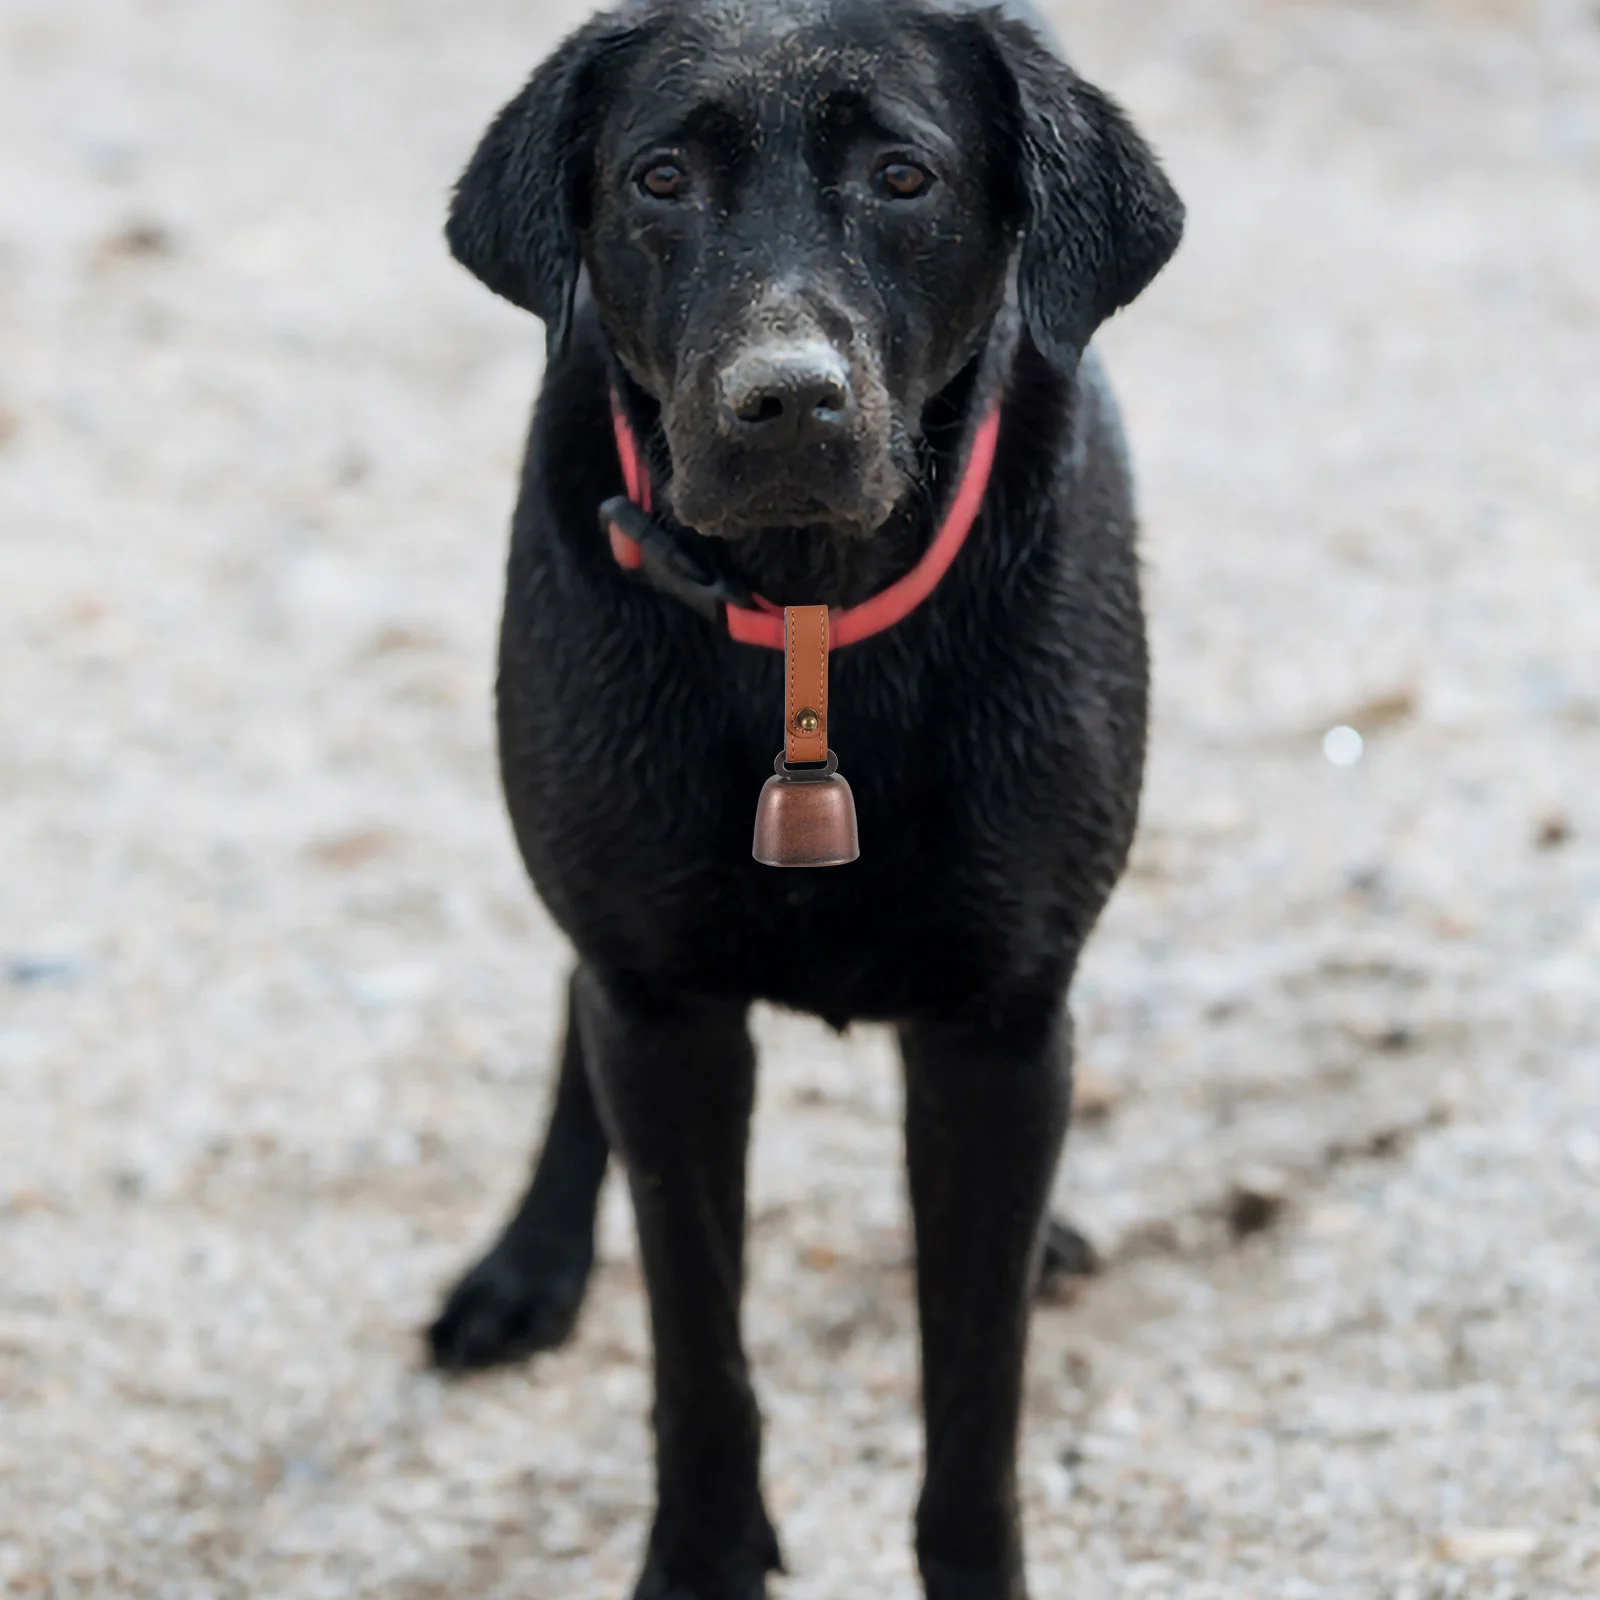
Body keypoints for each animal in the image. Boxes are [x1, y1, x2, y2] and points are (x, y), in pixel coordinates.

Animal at [425, 3, 1177, 1600]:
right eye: (658, 177)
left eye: (904, 176)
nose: (784, 404)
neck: (810, 622)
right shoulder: (663, 1008)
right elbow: (697, 1350)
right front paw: (701, 1559)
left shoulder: (1000, 1025)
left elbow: (975, 1399)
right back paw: (530, 1261)